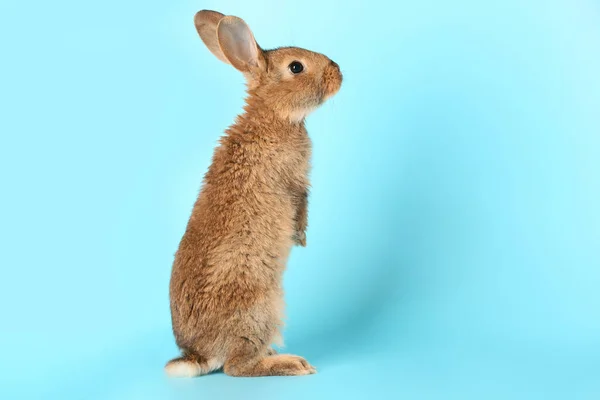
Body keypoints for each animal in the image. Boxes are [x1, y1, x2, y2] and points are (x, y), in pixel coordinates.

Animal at [165, 10, 342, 378]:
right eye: (296, 67)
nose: (338, 72)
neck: (274, 115)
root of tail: (200, 354)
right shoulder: (295, 181)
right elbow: (301, 204)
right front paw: (300, 237)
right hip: (260, 309)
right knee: (237, 367)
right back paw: (292, 364)